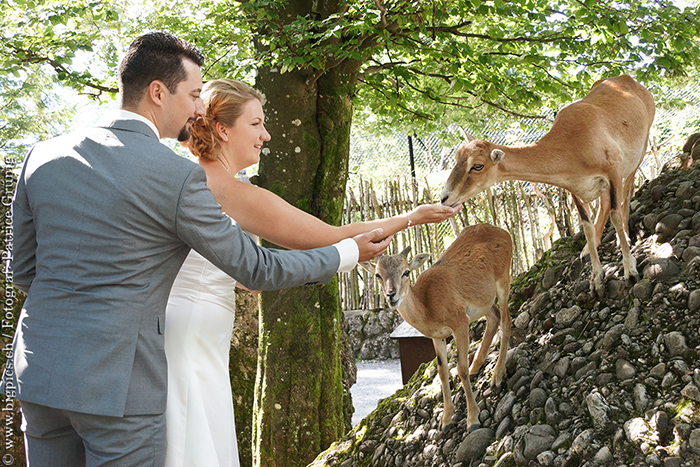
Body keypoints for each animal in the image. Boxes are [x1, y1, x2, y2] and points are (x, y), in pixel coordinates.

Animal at [364, 225, 512, 434]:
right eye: (378, 275)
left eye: (406, 272)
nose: (391, 295)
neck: (429, 306)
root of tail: (504, 232)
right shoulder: (436, 335)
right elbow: (442, 372)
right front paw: (445, 420)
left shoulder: (460, 322)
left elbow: (460, 368)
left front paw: (473, 420)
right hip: (483, 301)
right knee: (495, 317)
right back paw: (476, 367)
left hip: (503, 278)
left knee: (506, 320)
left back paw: (497, 376)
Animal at [440, 75, 652, 298]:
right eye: (456, 158)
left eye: (478, 165)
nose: (445, 197)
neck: (574, 145)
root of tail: (627, 79)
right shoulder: (575, 187)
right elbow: (586, 225)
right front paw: (596, 281)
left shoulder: (614, 169)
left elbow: (616, 213)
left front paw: (630, 271)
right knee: (604, 204)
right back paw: (588, 249)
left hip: (640, 149)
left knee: (627, 191)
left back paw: (625, 237)